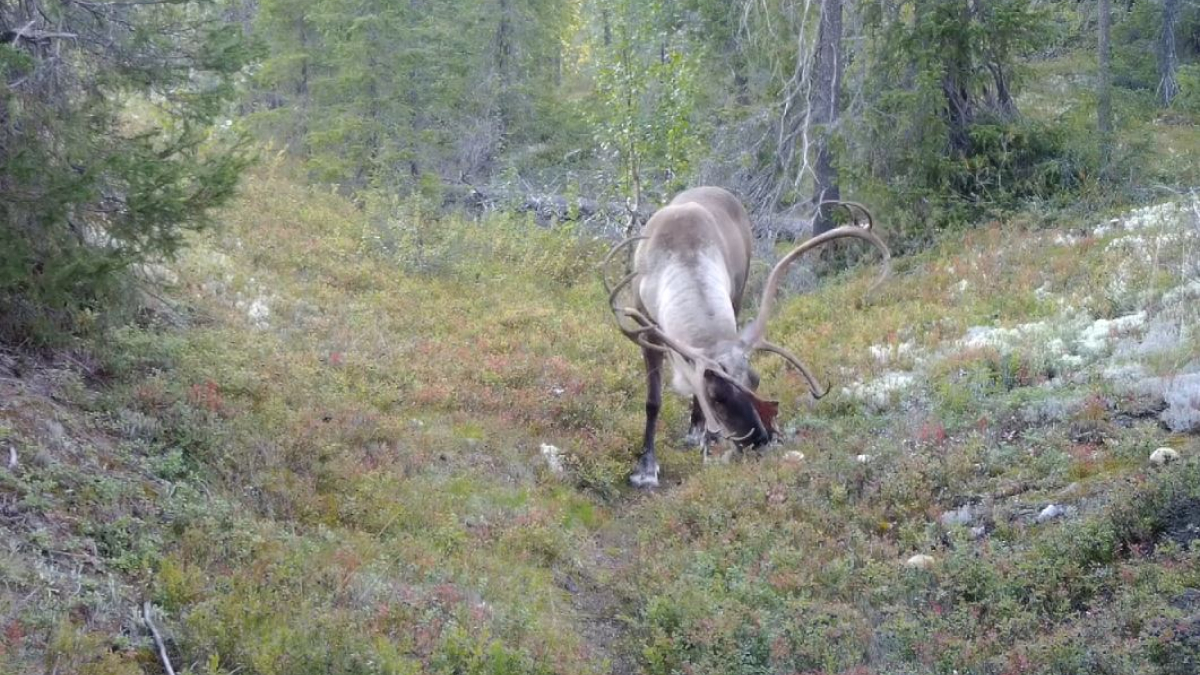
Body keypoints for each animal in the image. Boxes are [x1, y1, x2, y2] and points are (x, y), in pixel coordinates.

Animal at [603, 186, 890, 487]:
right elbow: (653, 402)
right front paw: (646, 468)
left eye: (756, 380)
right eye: (717, 397)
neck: (683, 255)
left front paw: (707, 440)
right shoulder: (646, 330)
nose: (760, 440)